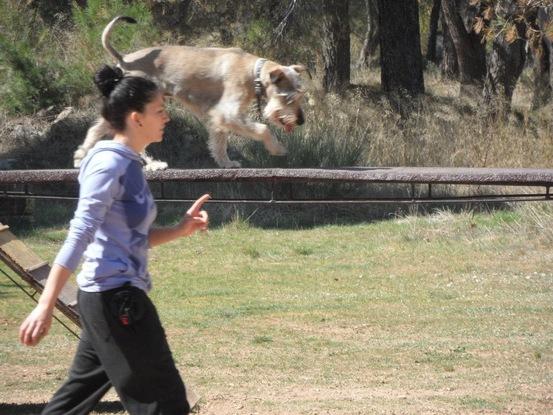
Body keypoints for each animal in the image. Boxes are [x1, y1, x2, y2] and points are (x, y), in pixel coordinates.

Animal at [73, 15, 306, 169]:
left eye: (301, 95)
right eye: (289, 98)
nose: (301, 121)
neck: (253, 72)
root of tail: (124, 60)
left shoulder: (219, 118)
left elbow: (219, 142)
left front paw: (226, 163)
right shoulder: (228, 113)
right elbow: (262, 129)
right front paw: (277, 149)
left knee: (100, 129)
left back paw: (83, 156)